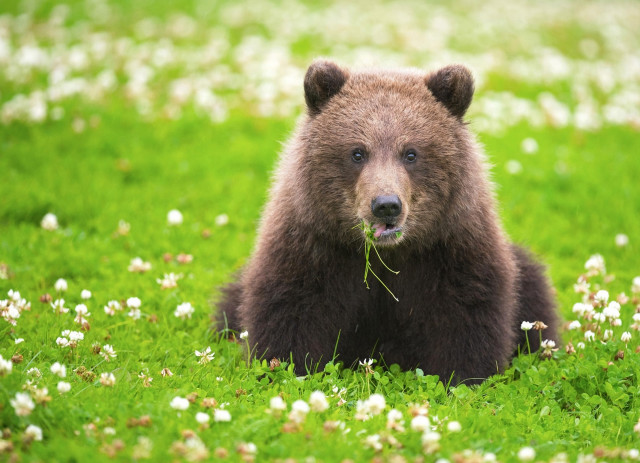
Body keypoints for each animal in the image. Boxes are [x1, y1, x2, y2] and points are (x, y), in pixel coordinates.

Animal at [216, 60, 558, 385]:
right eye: (357, 152)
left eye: (411, 153)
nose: (386, 205)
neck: (387, 255)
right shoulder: (315, 246)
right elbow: (291, 307)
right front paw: (286, 366)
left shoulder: (449, 249)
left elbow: (466, 311)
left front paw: (463, 375)